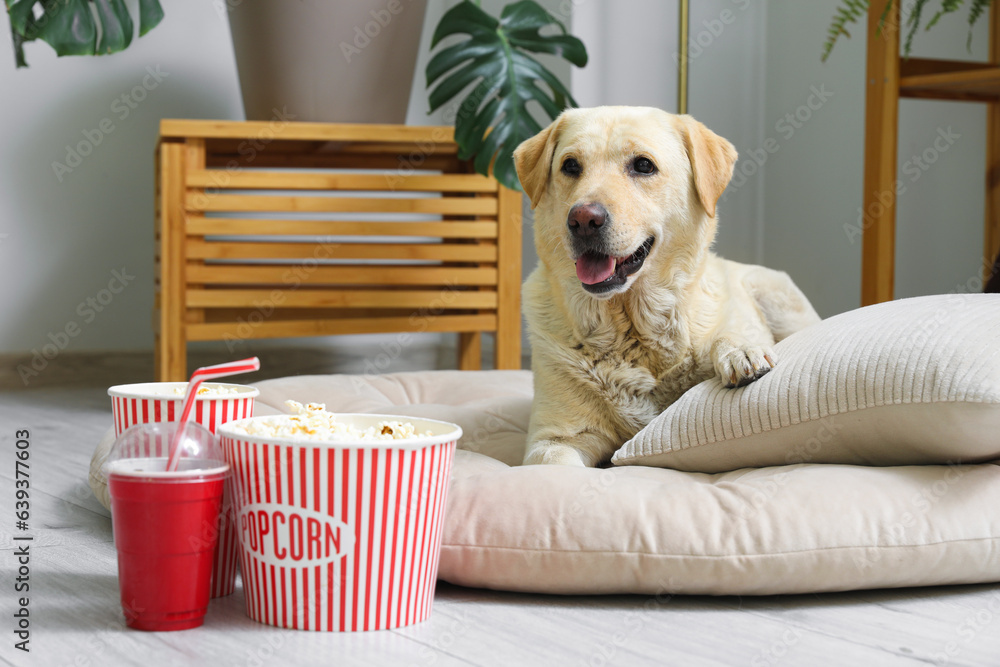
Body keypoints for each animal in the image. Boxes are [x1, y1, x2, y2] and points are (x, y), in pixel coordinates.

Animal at [516, 107, 820, 468]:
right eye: (570, 166)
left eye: (643, 165)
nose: (583, 220)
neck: (633, 330)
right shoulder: (554, 440)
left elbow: (728, 335)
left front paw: (740, 352)